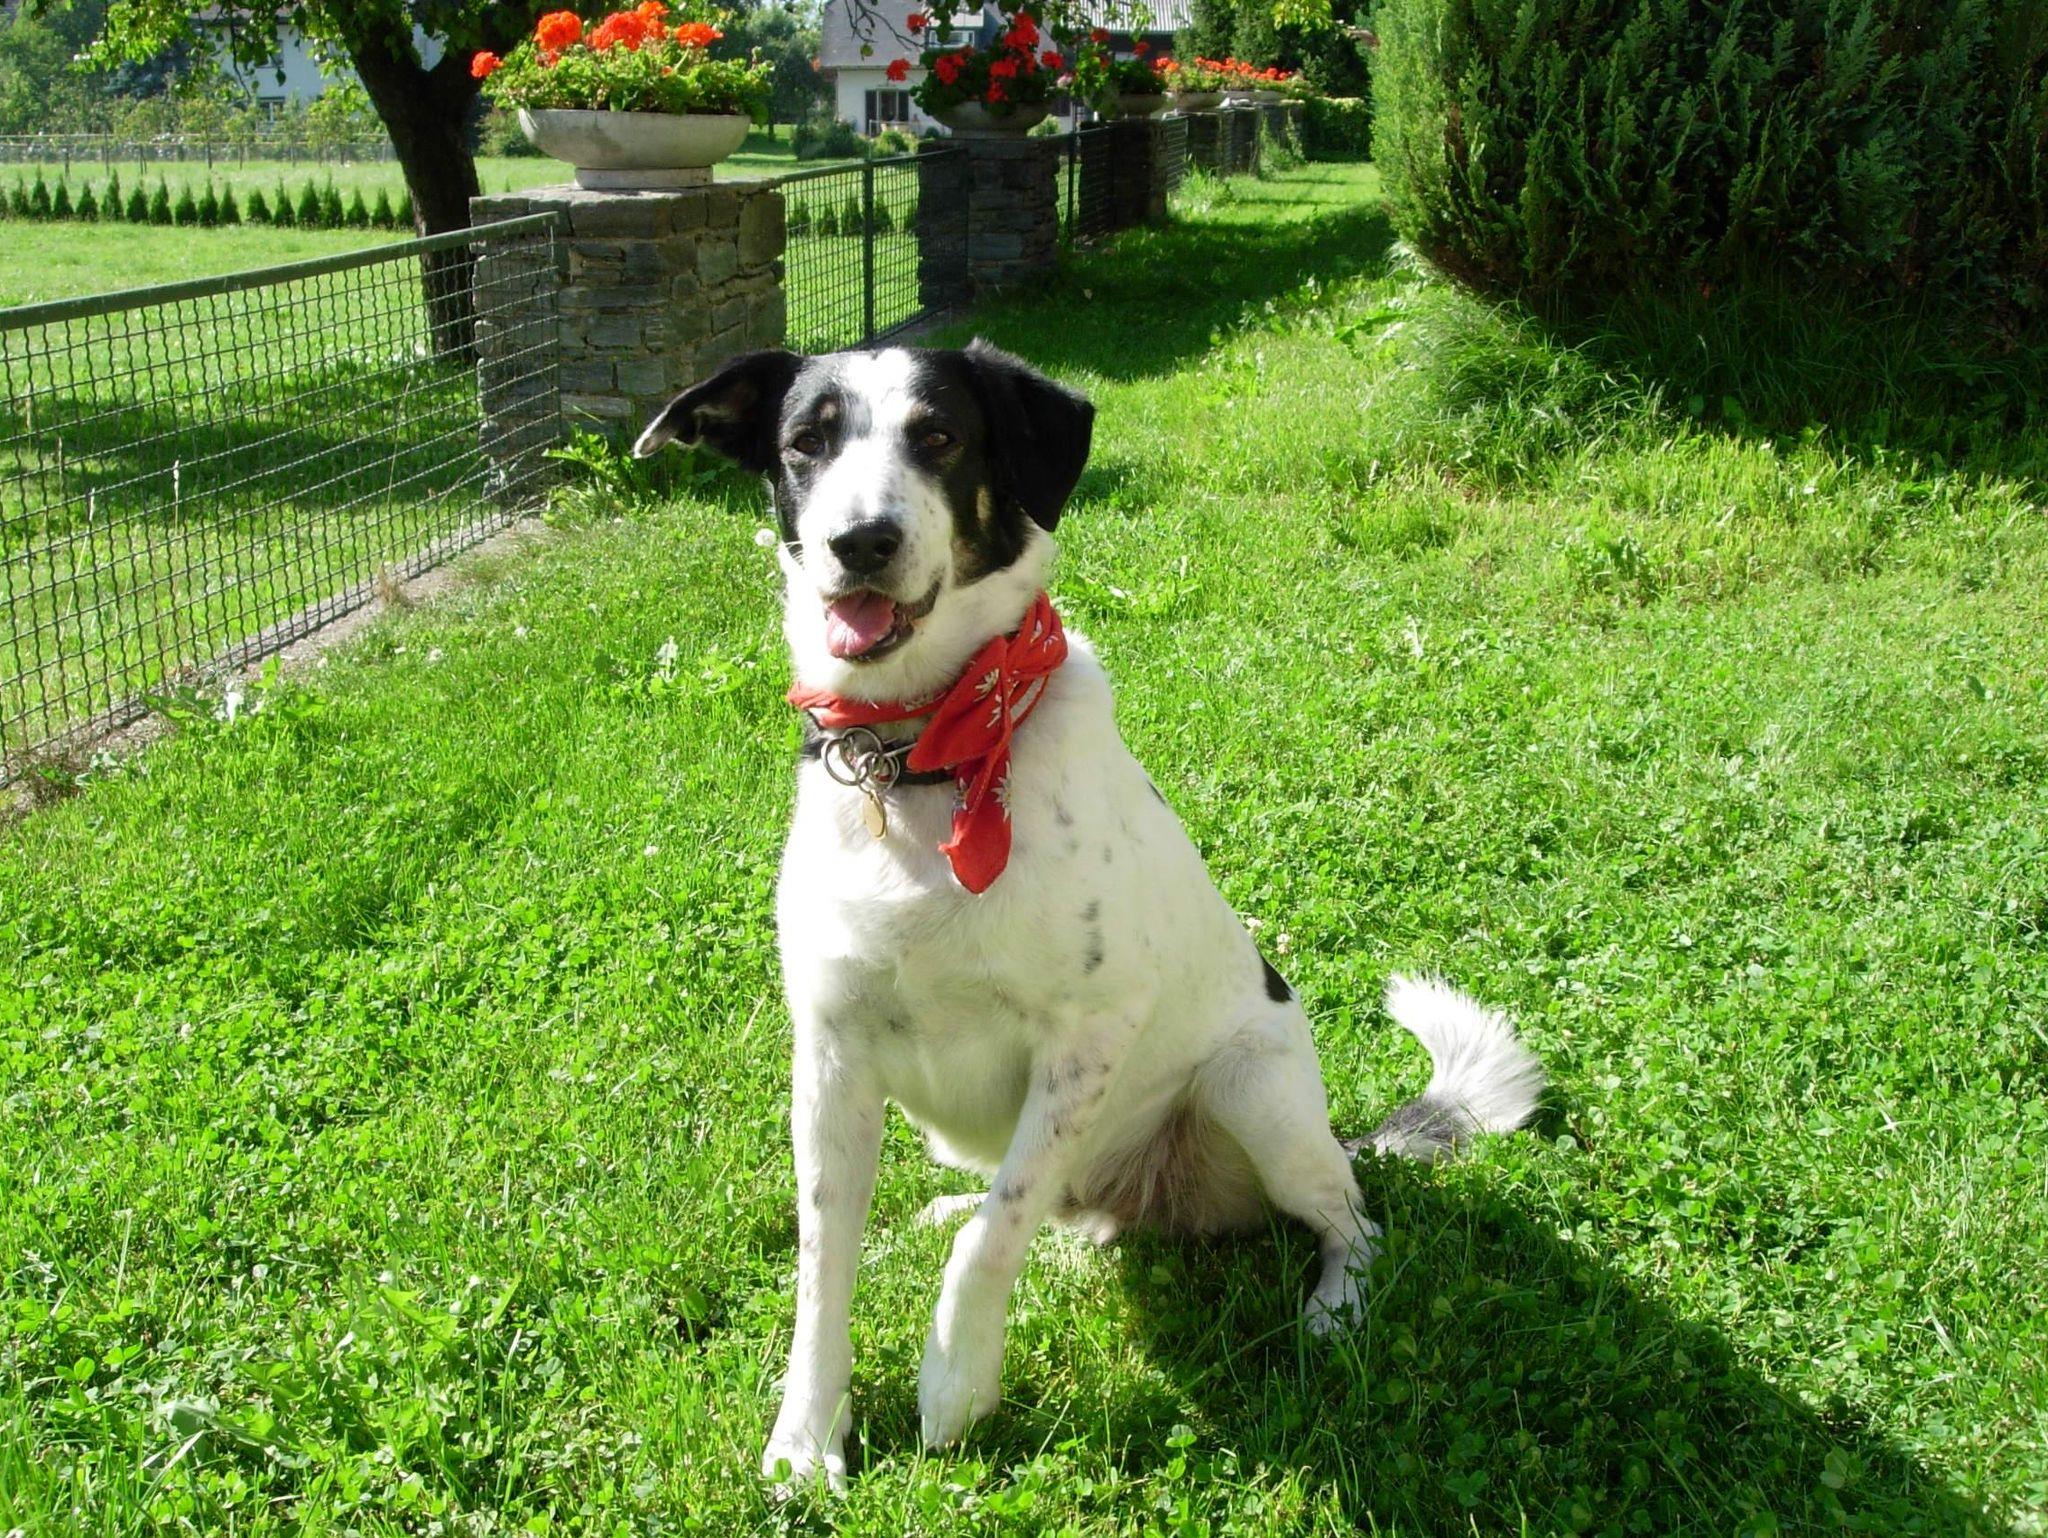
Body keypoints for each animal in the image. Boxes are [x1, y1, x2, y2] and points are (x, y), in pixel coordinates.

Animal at [634, 341, 1544, 1491]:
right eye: (807, 441)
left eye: (940, 435)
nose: (860, 542)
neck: (922, 753)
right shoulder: (831, 1053)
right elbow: (825, 1267)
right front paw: (807, 1436)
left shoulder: (1090, 1033)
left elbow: (994, 1236)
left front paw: (955, 1383)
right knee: (1051, 1209)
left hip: (1253, 1094)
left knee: (1347, 1219)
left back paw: (1332, 1308)